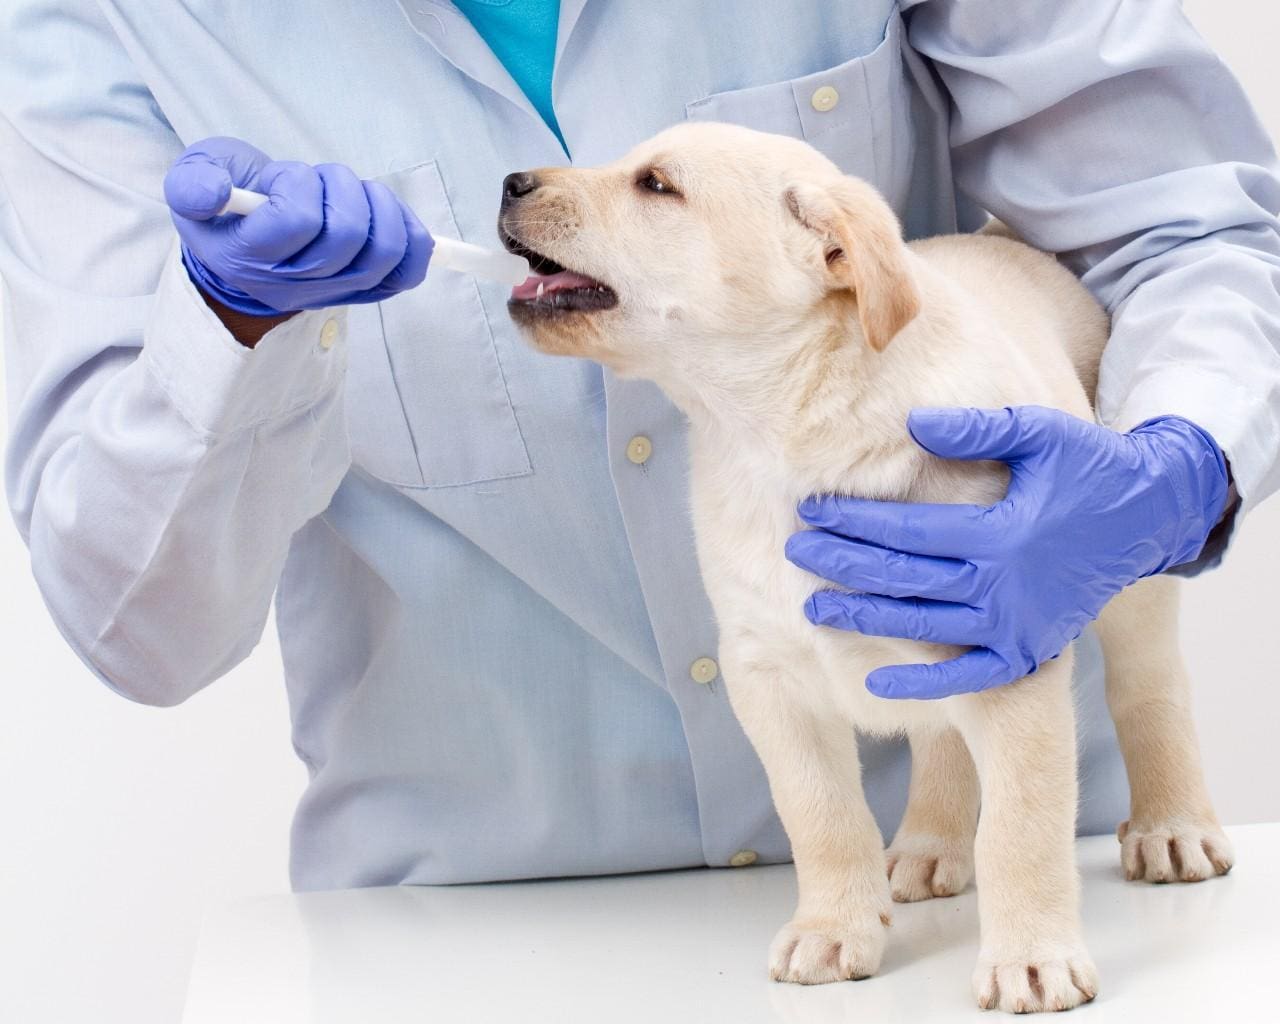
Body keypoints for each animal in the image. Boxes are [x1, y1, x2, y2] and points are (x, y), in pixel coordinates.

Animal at [496, 124, 1228, 1013]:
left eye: (656, 185)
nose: (511, 182)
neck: (779, 435)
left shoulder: (1012, 660)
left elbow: (1021, 829)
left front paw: (1030, 958)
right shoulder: (768, 675)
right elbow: (821, 817)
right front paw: (832, 928)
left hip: (1123, 573)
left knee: (1150, 692)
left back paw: (1172, 827)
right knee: (941, 735)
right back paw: (930, 843)